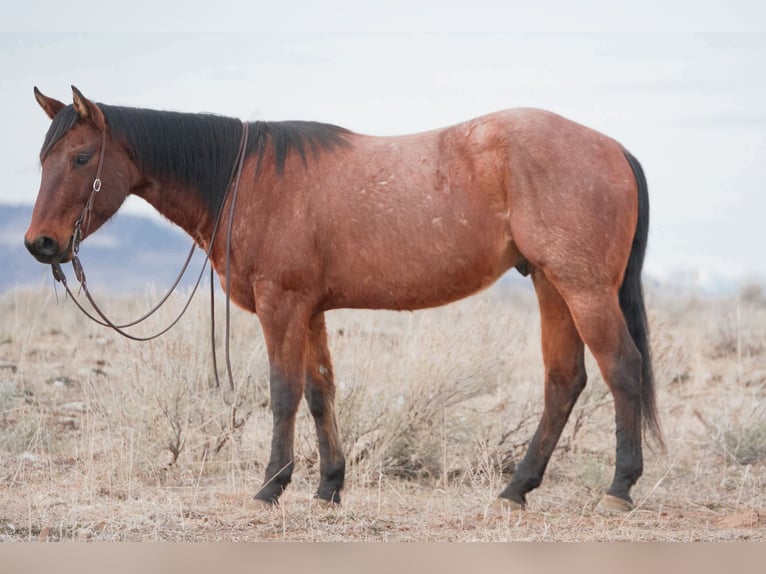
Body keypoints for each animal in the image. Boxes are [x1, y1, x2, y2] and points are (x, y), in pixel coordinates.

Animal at [25, 86, 661, 513]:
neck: (248, 179)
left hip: (583, 289)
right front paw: (329, 486)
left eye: (81, 158)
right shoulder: (310, 311)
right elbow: (318, 394)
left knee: (621, 369)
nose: (40, 244)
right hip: (552, 285)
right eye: (42, 159)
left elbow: (283, 394)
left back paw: (619, 487)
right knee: (565, 381)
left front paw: (271, 486)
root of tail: (613, 148)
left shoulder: (282, 306)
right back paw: (516, 488)